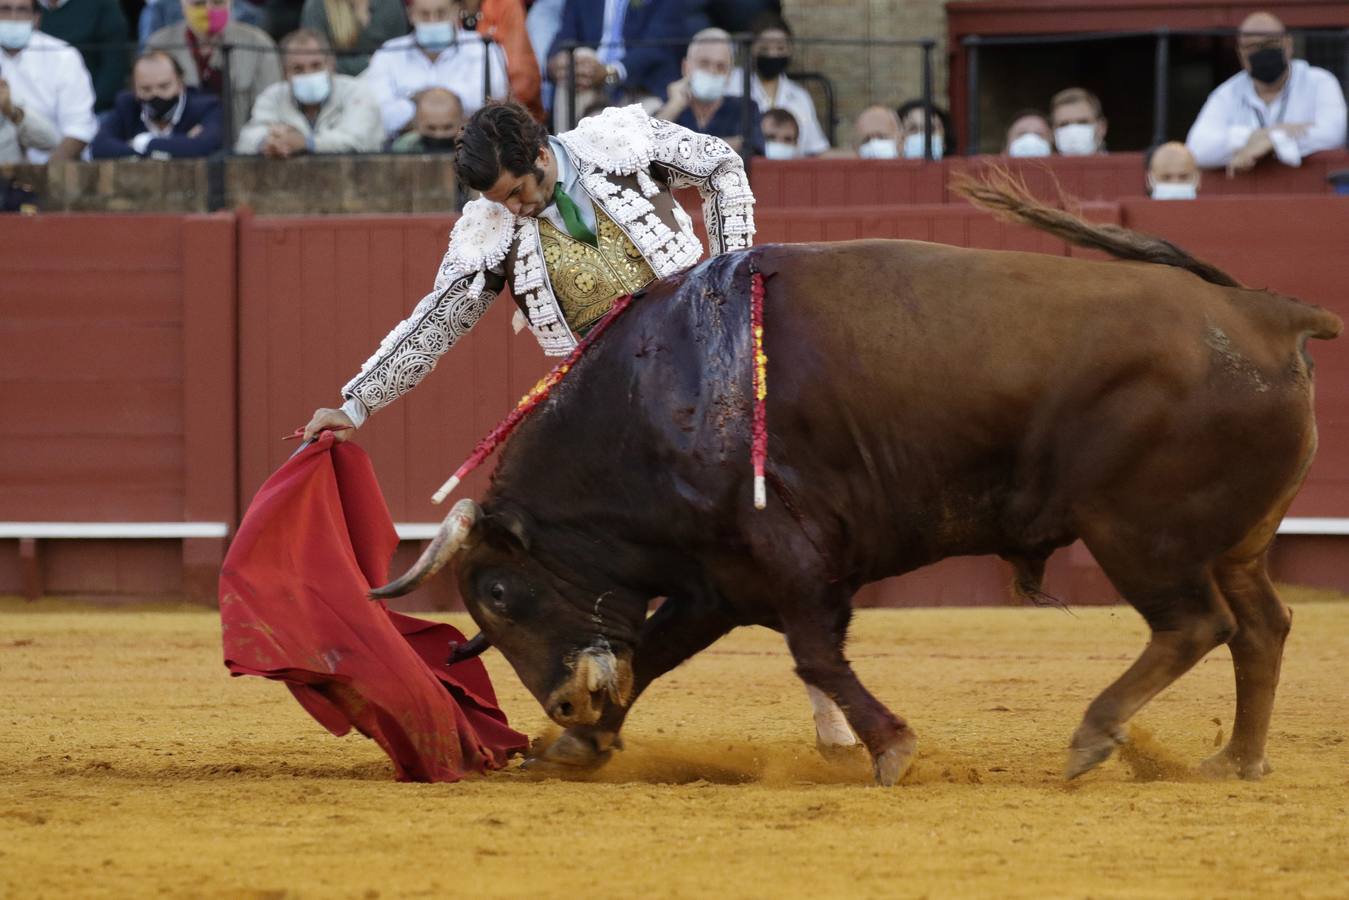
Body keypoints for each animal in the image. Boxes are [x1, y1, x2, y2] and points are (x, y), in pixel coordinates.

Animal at [369, 179, 1338, 782]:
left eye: (502, 593)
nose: (566, 700)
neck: (660, 400)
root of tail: (1264, 310)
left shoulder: (790, 560)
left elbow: (814, 652)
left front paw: (891, 747)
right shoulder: (720, 579)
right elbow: (660, 647)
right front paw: (573, 747)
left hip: (1137, 534)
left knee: (1194, 625)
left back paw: (1095, 735)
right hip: (1233, 541)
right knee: (1261, 627)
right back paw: (1234, 760)